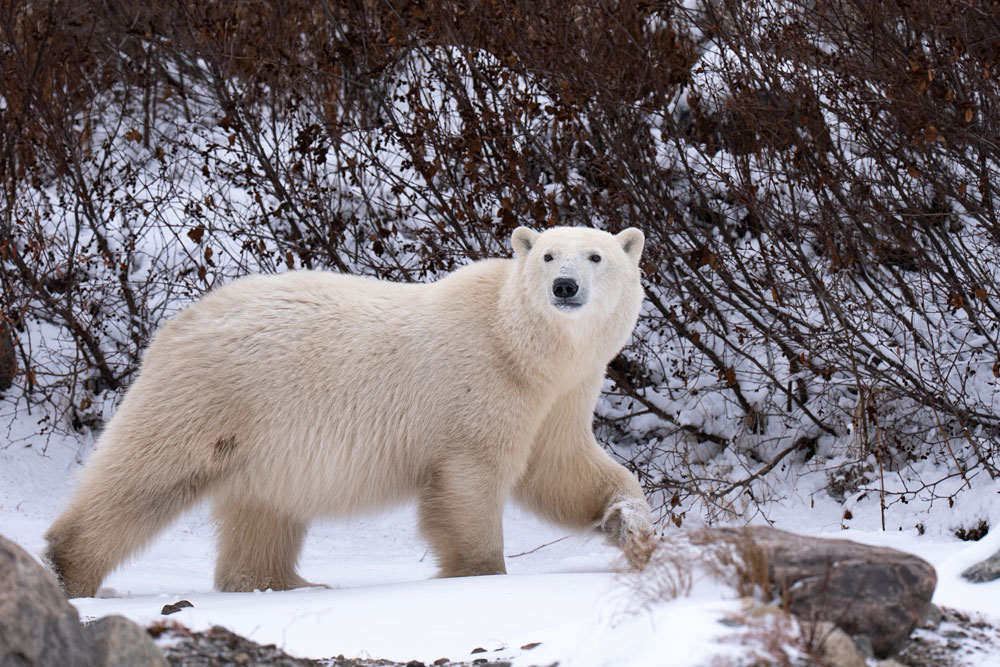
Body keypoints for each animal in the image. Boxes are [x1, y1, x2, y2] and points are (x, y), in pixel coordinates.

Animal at [45, 225, 655, 597]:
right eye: (549, 255)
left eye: (596, 256)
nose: (565, 286)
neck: (521, 346)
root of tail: (177, 323)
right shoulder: (478, 386)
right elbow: (470, 481)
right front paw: (479, 575)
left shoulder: (561, 396)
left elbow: (561, 469)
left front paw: (632, 528)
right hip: (211, 396)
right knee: (145, 477)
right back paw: (67, 571)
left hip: (260, 439)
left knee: (263, 511)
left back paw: (282, 582)